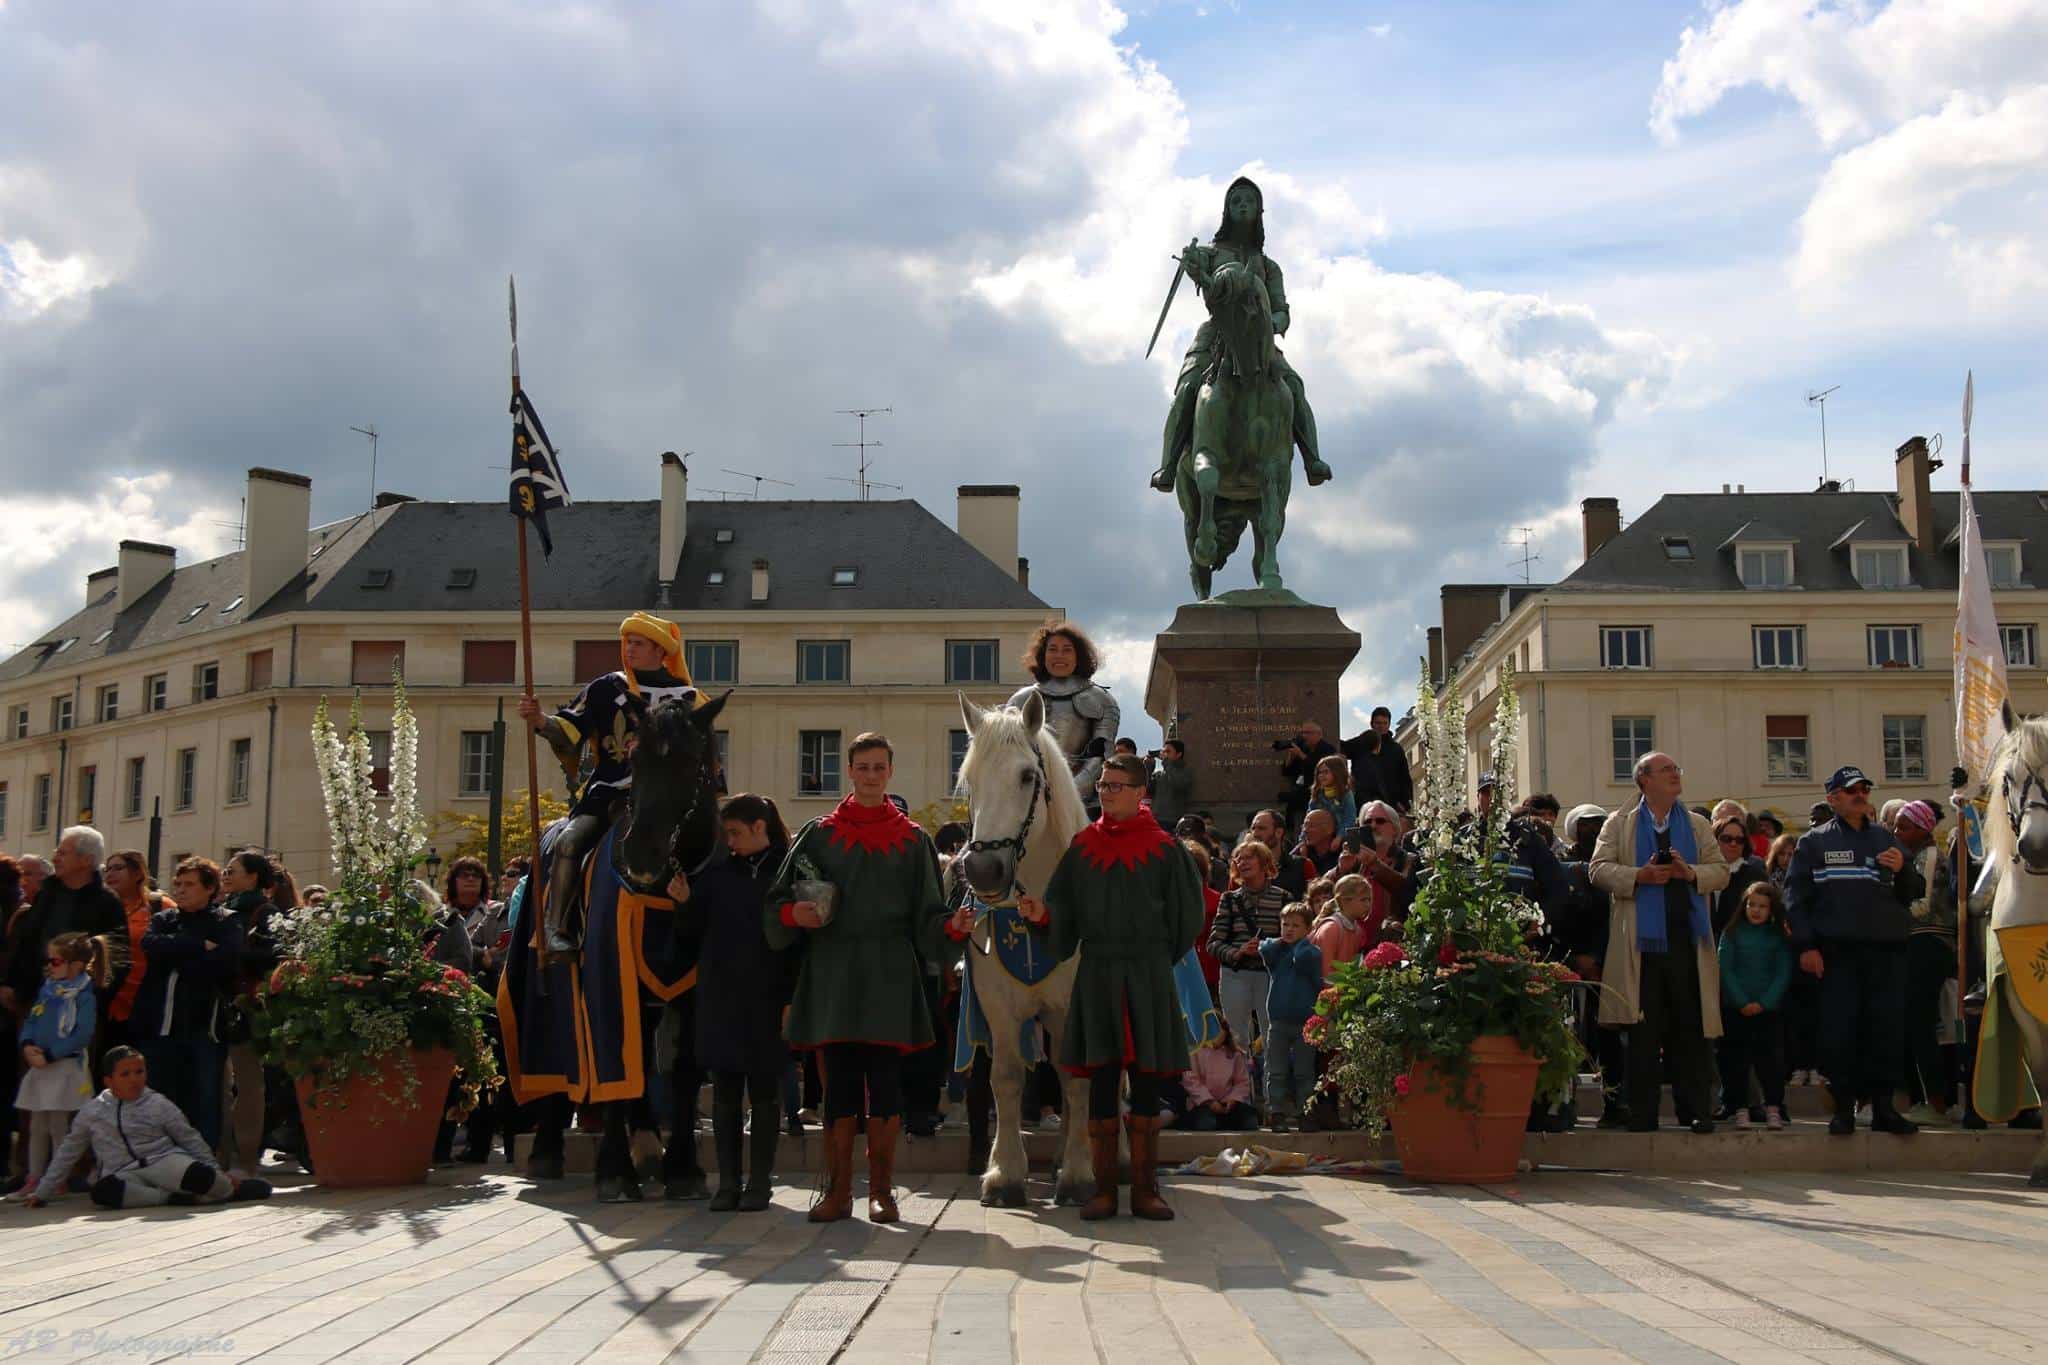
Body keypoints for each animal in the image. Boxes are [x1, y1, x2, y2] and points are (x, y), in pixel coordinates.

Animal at [950, 695, 1097, 1203]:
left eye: (1027, 776)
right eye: (970, 780)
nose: (983, 870)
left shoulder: (1076, 1005)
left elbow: (1077, 1080)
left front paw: (1079, 1174)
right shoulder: (999, 1005)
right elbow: (1008, 1077)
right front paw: (1005, 1173)